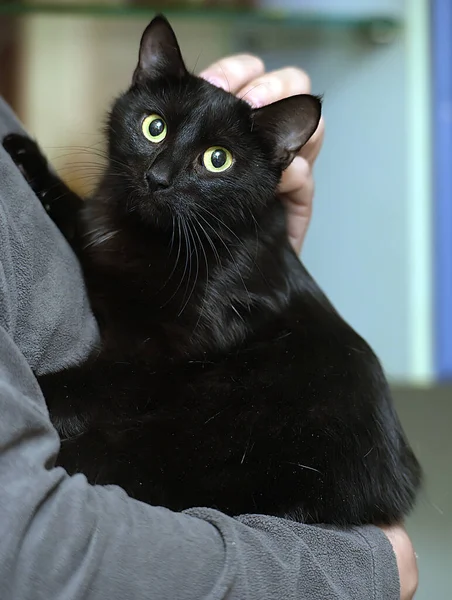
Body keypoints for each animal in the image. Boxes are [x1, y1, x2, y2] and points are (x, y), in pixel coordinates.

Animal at [2, 14, 420, 524]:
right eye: (154, 127)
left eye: (217, 160)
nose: (157, 178)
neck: (153, 240)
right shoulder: (100, 233)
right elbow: (78, 214)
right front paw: (26, 157)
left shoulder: (163, 356)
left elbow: (91, 384)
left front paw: (39, 391)